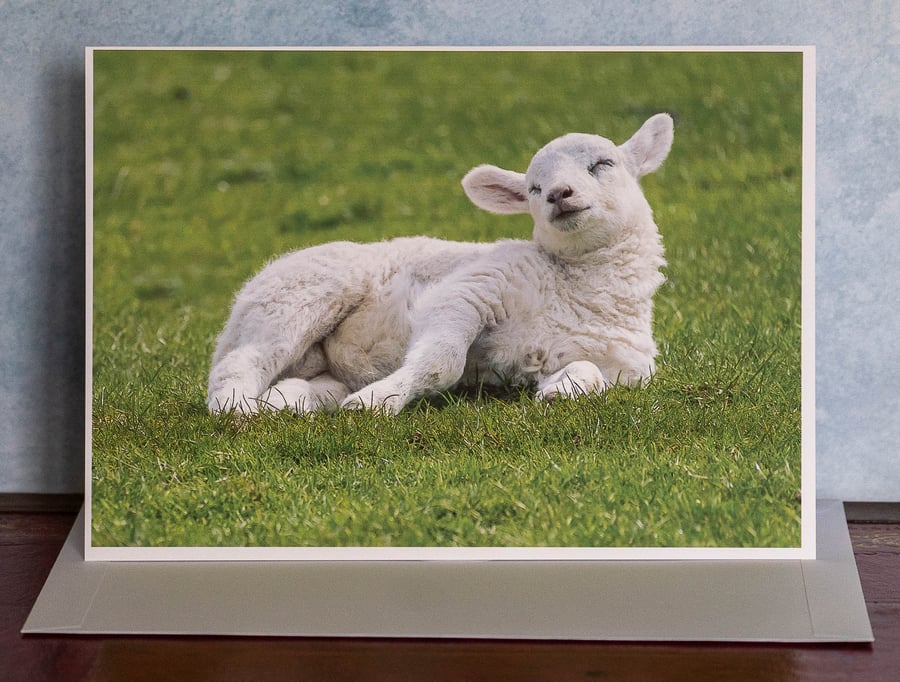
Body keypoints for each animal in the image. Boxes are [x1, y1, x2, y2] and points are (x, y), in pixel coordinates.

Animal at [207, 113, 674, 416]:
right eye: (534, 189)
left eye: (603, 164)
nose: (559, 194)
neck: (580, 287)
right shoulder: (475, 287)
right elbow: (440, 362)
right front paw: (375, 402)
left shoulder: (620, 369)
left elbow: (587, 373)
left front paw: (559, 393)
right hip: (294, 298)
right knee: (242, 361)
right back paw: (238, 409)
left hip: (318, 360)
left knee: (300, 384)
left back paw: (282, 402)